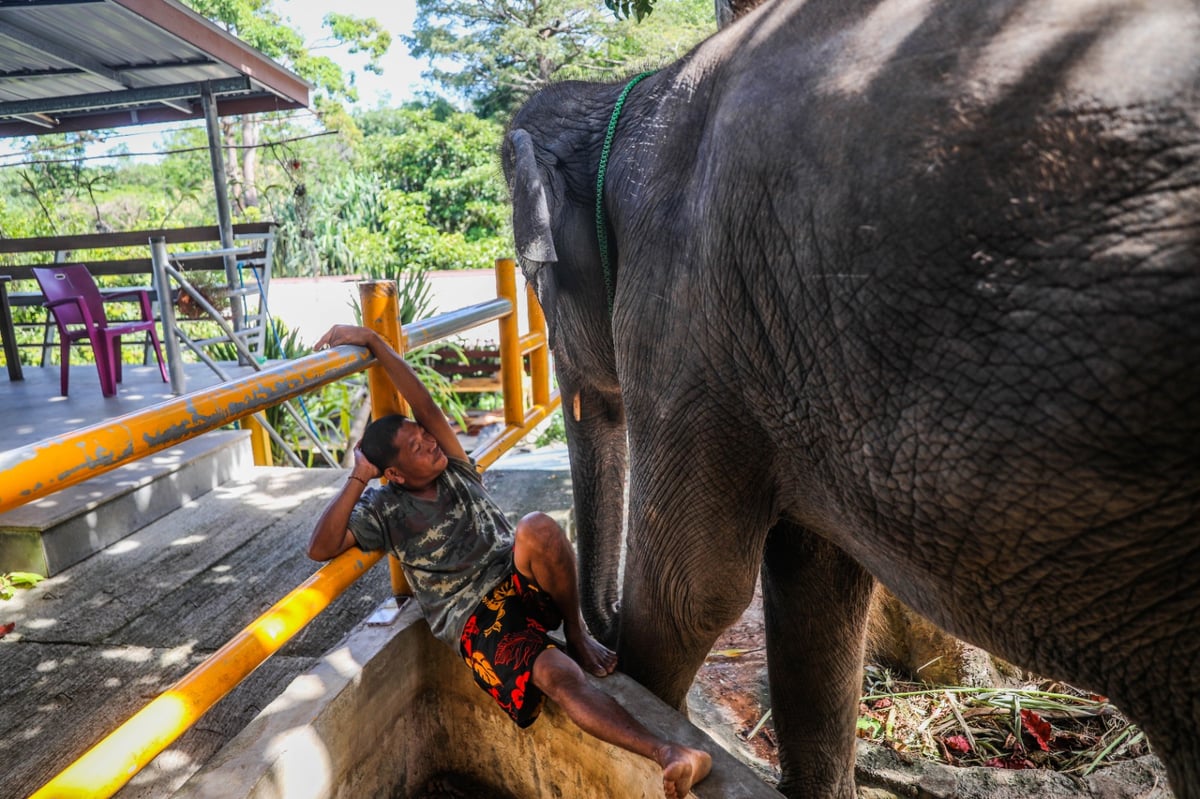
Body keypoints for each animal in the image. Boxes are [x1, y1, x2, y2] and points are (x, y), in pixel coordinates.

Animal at [501, 0, 1200, 791]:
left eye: (535, 278)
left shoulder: (686, 317)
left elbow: (692, 590)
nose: (597, 634)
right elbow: (818, 583)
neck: (628, 94)